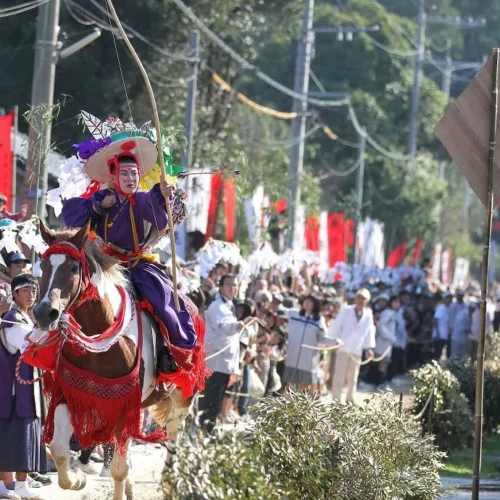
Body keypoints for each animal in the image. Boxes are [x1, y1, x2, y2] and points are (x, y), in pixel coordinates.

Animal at [32, 223, 195, 500]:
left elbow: (118, 469)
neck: (102, 336)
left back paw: (169, 480)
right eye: (43, 266)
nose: (44, 312)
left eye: (73, 268)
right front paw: (78, 480)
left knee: (172, 433)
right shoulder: (71, 395)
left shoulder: (125, 405)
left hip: (183, 394)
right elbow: (59, 450)